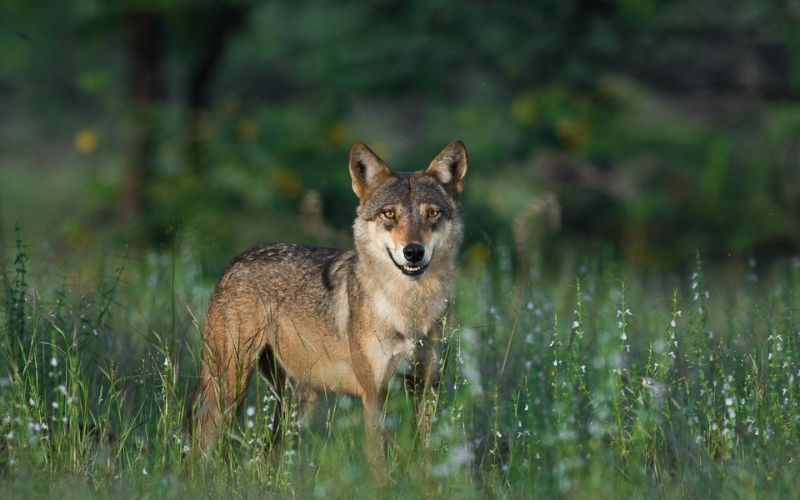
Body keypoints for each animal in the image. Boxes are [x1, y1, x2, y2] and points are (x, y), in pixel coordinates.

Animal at [191, 140, 468, 476]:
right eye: (389, 214)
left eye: (433, 213)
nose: (413, 252)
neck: (409, 310)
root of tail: (234, 262)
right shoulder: (374, 395)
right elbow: (379, 465)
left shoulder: (425, 387)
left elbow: (425, 453)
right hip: (228, 389)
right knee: (201, 444)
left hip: (295, 401)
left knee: (271, 452)